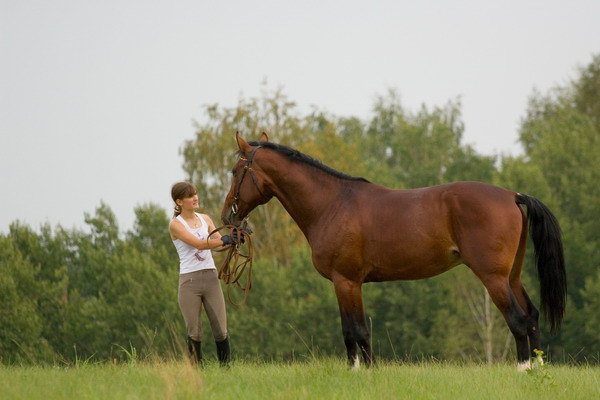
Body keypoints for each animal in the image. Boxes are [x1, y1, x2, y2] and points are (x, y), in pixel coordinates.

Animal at [221, 133, 568, 370]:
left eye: (236, 171)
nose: (228, 216)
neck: (333, 204)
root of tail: (512, 195)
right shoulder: (348, 283)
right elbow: (354, 330)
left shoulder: (346, 281)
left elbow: (355, 330)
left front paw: (360, 372)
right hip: (512, 276)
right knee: (532, 316)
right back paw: (537, 367)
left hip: (493, 277)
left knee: (518, 319)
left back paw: (523, 369)